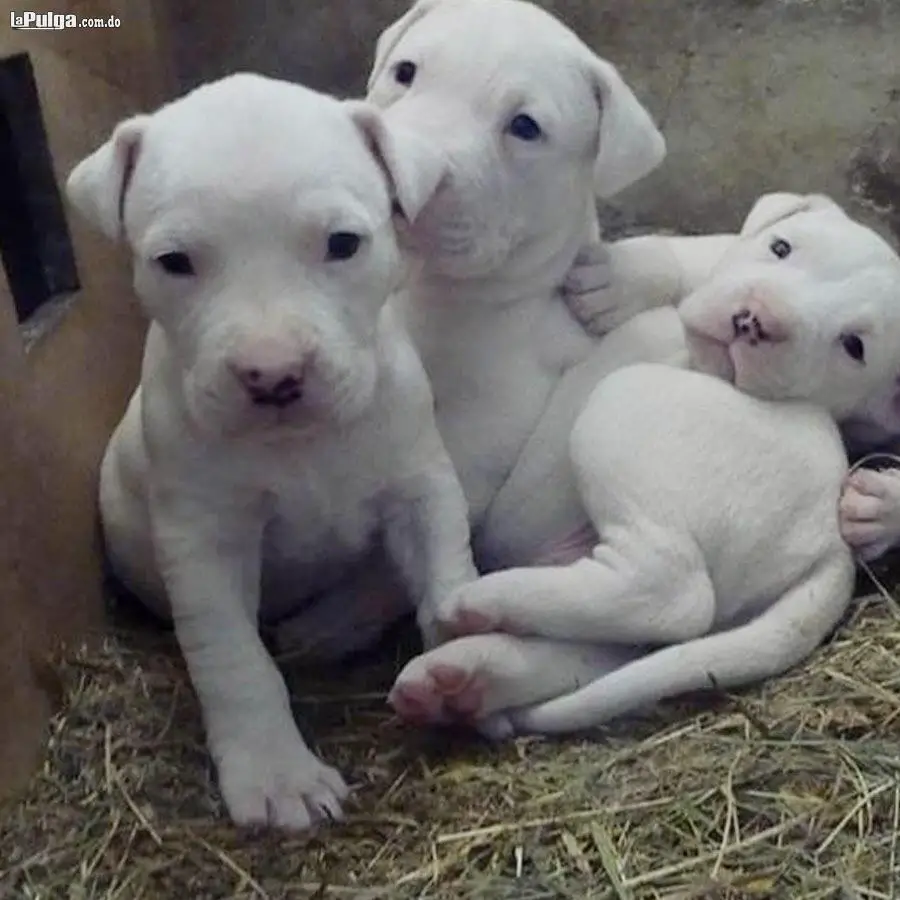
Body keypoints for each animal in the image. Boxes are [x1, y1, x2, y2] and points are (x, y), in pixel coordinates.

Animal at [67, 75, 482, 828]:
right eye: (174, 262)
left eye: (343, 244)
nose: (273, 374)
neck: (299, 446)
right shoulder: (204, 542)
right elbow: (235, 659)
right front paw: (276, 774)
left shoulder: (421, 485)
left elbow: (446, 573)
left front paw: (467, 666)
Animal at [392, 193, 900, 736]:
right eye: (781, 247)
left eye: (853, 346)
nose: (754, 319)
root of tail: (828, 539)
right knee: (608, 647)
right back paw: (463, 679)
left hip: (621, 411)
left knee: (667, 591)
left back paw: (479, 606)